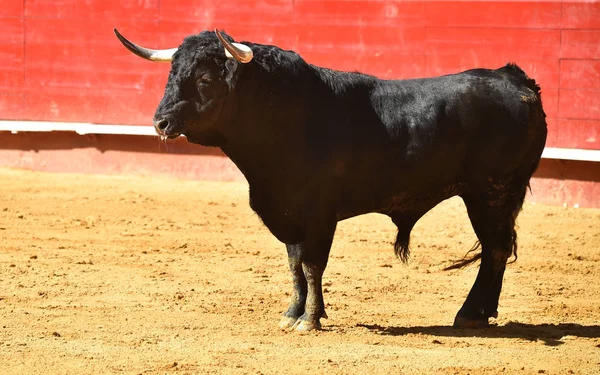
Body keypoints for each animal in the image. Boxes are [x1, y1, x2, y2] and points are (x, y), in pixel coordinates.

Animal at [113, 29, 548, 332]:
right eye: (172, 74)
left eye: (204, 80)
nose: (160, 122)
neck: (289, 117)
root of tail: (517, 80)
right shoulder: (287, 211)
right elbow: (294, 265)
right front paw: (293, 313)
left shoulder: (319, 214)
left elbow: (311, 265)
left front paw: (309, 319)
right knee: (496, 250)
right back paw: (483, 312)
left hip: (491, 193)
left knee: (494, 249)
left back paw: (470, 314)